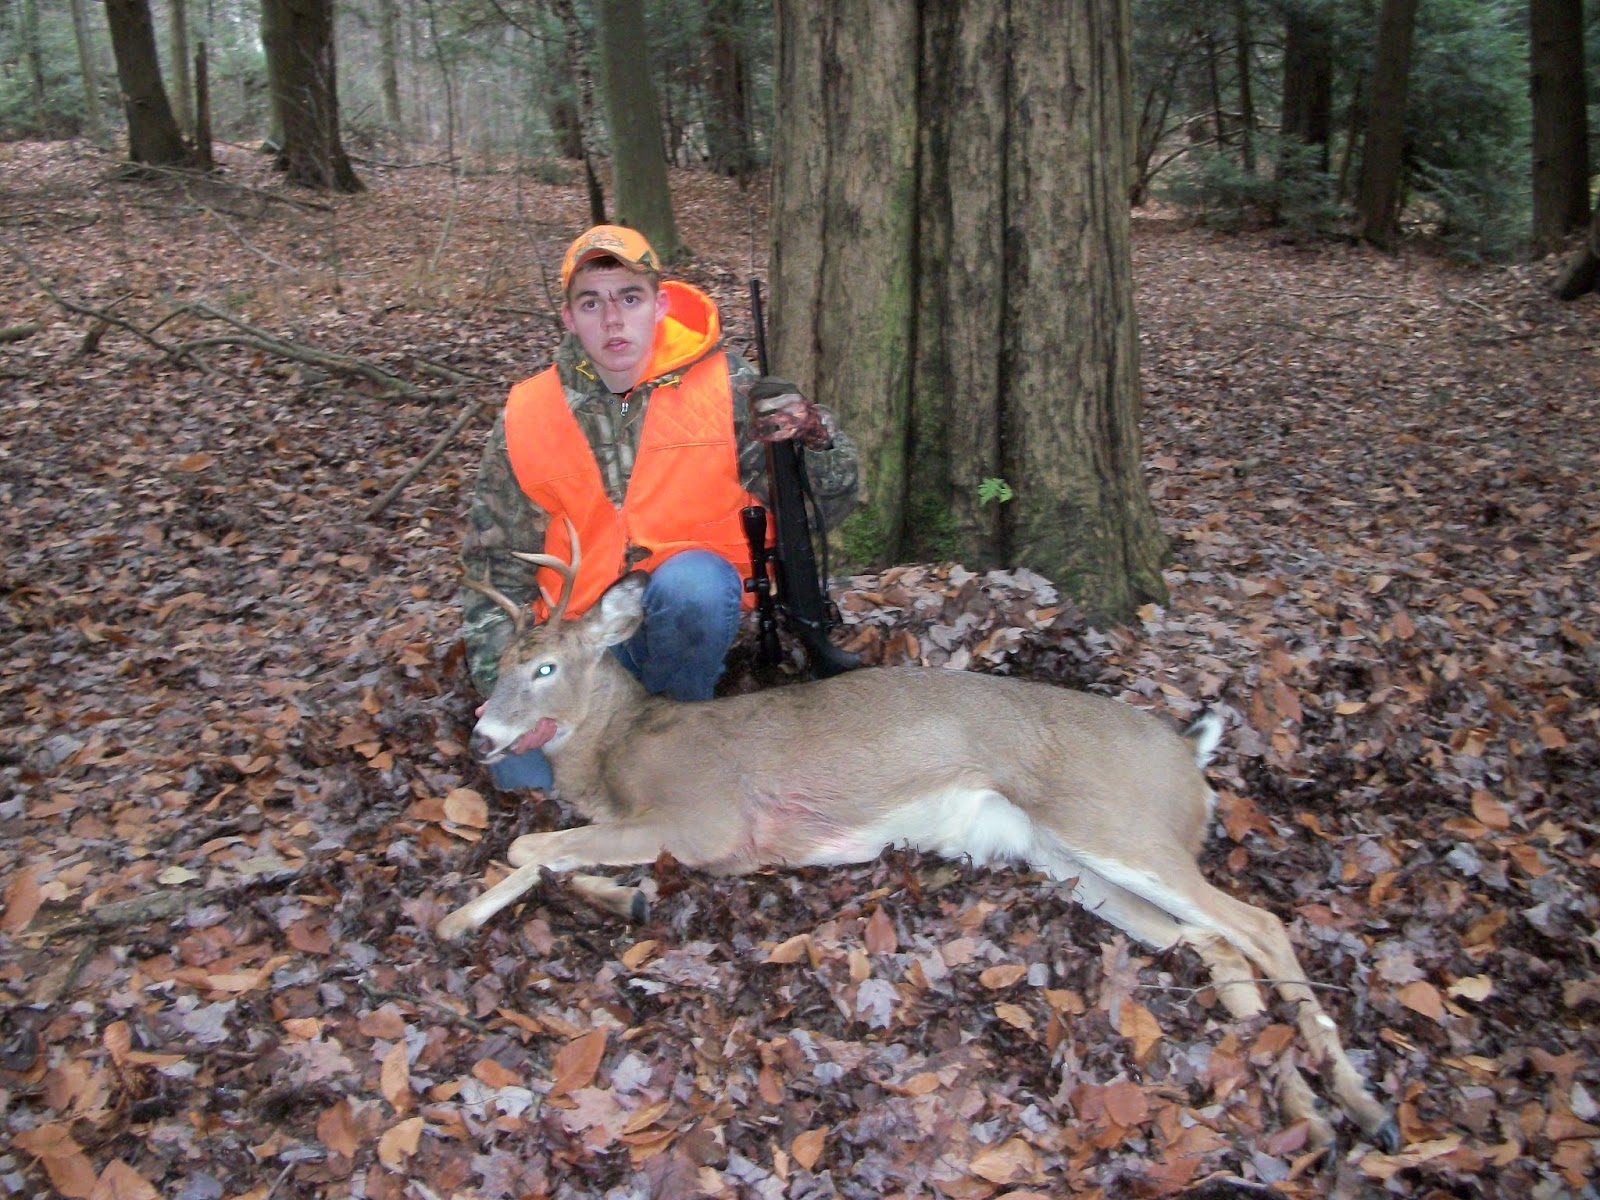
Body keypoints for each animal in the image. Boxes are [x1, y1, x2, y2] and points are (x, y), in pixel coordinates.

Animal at [438, 521, 1399, 1152]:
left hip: (1113, 821)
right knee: (1211, 942)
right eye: (501, 666)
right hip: (1067, 860)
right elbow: (538, 858)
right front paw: (465, 919)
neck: (622, 754)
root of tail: (1187, 753)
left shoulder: (703, 816)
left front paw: (608, 895)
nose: (481, 737)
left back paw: (1365, 1108)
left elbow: (534, 849)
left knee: (1259, 923)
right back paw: (1297, 1098)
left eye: (545, 666)